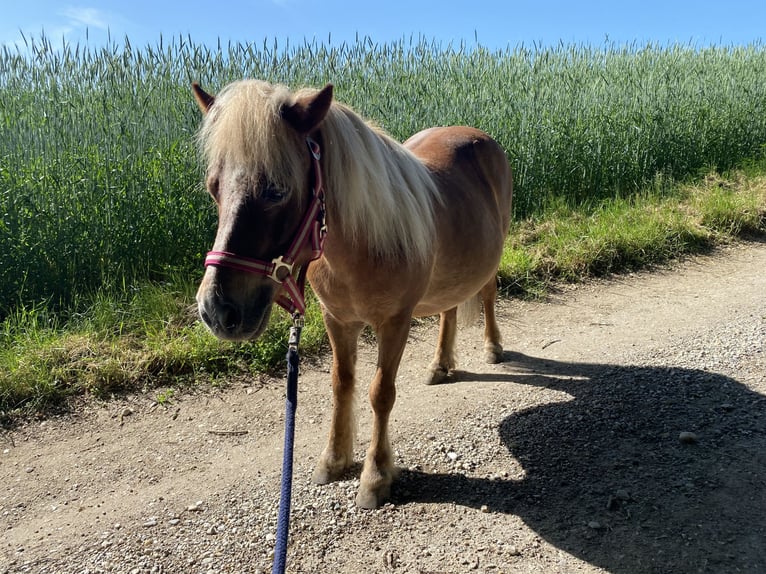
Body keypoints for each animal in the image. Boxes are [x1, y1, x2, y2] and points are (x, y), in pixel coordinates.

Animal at [192, 79, 513, 508]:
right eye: (214, 187)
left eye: (276, 190)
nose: (217, 310)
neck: (361, 243)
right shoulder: (338, 320)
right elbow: (341, 384)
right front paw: (334, 460)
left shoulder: (394, 323)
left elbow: (381, 393)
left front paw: (375, 477)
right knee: (449, 309)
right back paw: (440, 365)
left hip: (490, 260)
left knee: (489, 294)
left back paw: (493, 347)